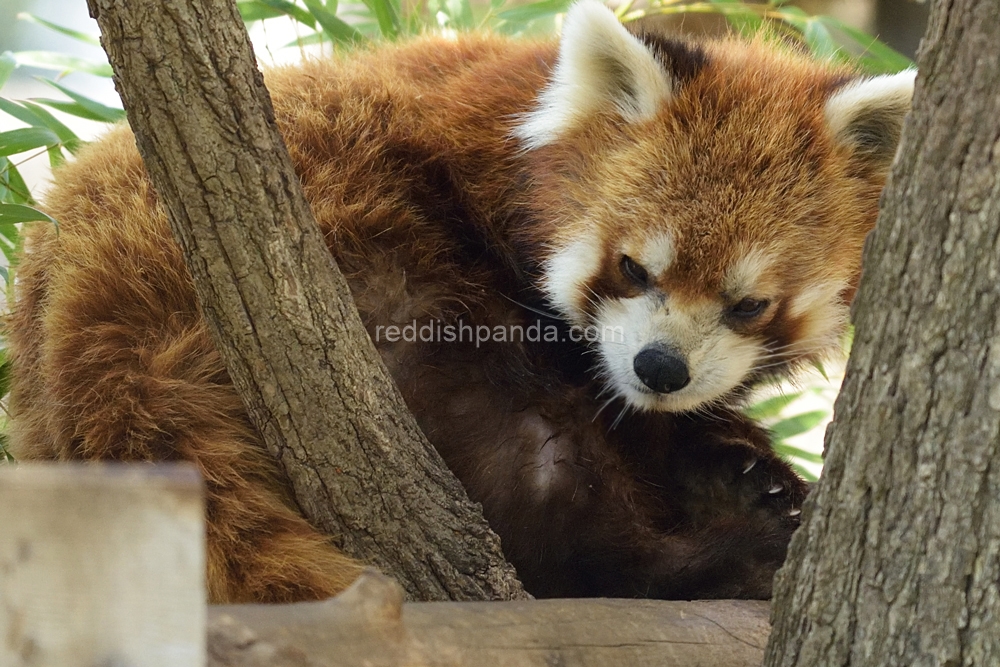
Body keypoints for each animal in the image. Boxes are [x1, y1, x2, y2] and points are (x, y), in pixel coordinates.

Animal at [5, 0, 916, 604]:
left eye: (749, 305)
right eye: (631, 267)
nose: (660, 368)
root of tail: (86, 302)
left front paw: (736, 457)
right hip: (373, 272)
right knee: (527, 470)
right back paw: (716, 557)